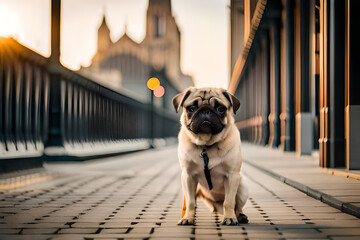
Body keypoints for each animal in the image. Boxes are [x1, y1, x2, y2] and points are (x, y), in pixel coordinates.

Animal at [172, 87, 248, 226]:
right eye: (191, 109)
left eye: (220, 108)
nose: (205, 110)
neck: (206, 146)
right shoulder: (188, 177)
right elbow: (190, 202)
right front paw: (188, 218)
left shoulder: (232, 176)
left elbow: (229, 202)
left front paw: (229, 218)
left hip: (242, 186)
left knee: (237, 206)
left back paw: (239, 216)